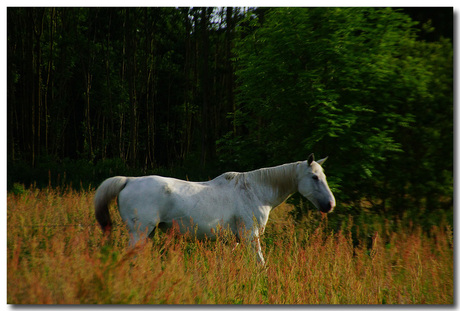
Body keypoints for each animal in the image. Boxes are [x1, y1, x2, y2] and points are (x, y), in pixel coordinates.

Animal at [95, 154, 336, 266]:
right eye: (314, 177)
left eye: (323, 175)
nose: (330, 205)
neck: (255, 190)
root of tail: (129, 180)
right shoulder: (250, 236)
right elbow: (260, 262)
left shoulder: (233, 241)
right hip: (139, 233)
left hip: (147, 234)